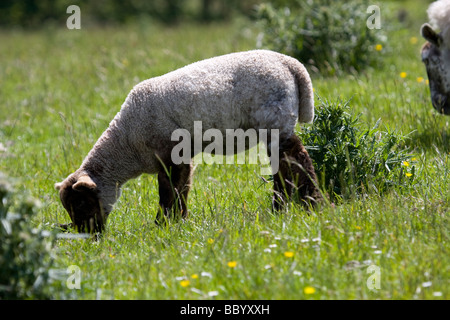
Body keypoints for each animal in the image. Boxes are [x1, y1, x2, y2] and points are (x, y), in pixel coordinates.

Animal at [56, 50, 322, 235]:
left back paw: (311, 204)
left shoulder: (170, 152)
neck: (127, 144)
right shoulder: (177, 156)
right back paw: (283, 207)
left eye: (81, 202)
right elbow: (181, 187)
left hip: (275, 119)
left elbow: (169, 191)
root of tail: (292, 66)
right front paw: (178, 220)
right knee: (284, 167)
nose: (88, 236)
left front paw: (163, 224)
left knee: (297, 159)